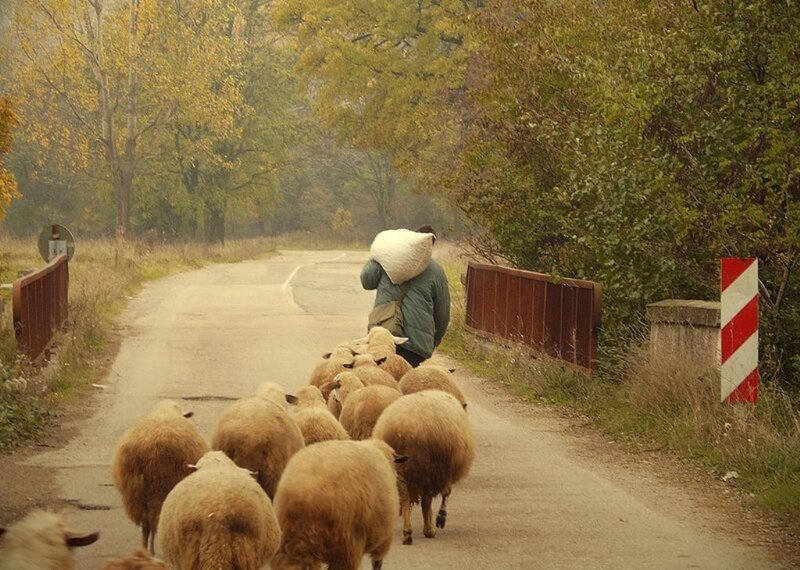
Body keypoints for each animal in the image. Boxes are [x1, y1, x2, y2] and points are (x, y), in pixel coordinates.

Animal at [110, 400, 210, 552]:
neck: (165, 410)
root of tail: (154, 451)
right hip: (167, 485)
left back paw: (146, 551)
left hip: (138, 493)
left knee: (146, 525)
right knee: (156, 522)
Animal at [373, 390, 475, 545]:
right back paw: (428, 530)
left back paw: (407, 533)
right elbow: (446, 493)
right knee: (426, 501)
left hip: (399, 466)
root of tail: (403, 429)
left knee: (405, 499)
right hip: (427, 468)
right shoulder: (444, 470)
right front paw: (441, 517)